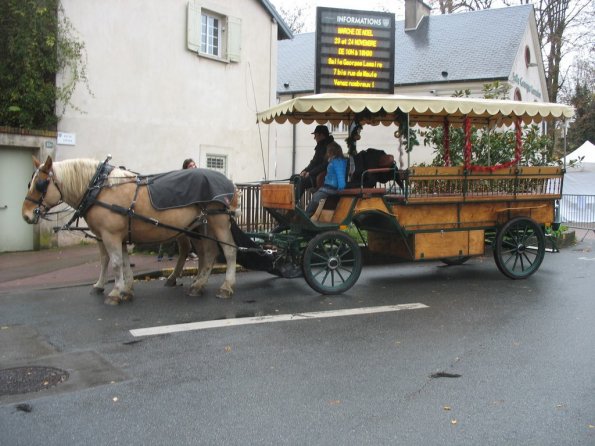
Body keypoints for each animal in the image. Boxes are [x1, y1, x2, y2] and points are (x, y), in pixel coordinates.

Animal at [22, 155, 237, 304]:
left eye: (40, 184)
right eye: (30, 183)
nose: (26, 215)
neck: (100, 189)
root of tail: (229, 183)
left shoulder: (109, 236)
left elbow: (114, 263)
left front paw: (115, 292)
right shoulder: (119, 237)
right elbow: (123, 262)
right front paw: (126, 289)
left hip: (217, 221)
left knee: (229, 250)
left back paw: (226, 287)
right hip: (200, 226)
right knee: (208, 252)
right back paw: (198, 284)